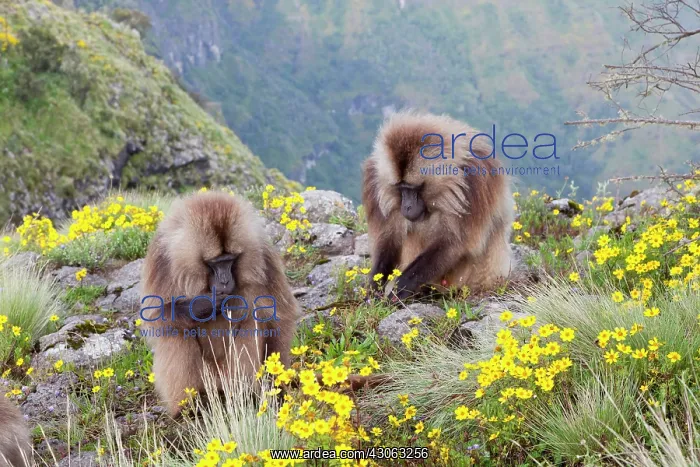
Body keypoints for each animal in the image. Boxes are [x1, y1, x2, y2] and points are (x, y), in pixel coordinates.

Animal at [140, 191, 300, 417]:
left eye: (230, 260)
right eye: (214, 263)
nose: (224, 281)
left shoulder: (264, 253)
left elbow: (280, 317)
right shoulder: (161, 259)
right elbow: (155, 317)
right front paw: (202, 305)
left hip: (226, 374)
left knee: (252, 316)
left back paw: (245, 393)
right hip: (206, 376)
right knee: (175, 330)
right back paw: (189, 405)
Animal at [362, 110, 515, 300]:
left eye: (414, 189)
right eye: (401, 188)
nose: (407, 207)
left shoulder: (475, 183)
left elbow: (453, 243)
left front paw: (398, 291)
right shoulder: (374, 181)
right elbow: (388, 239)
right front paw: (374, 289)